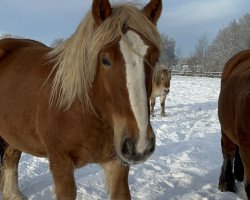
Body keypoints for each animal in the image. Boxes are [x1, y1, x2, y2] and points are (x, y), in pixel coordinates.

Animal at [0, 0, 163, 199]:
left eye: (154, 59)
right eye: (105, 60)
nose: (140, 145)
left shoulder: (118, 164)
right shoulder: (61, 165)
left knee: (11, 156)